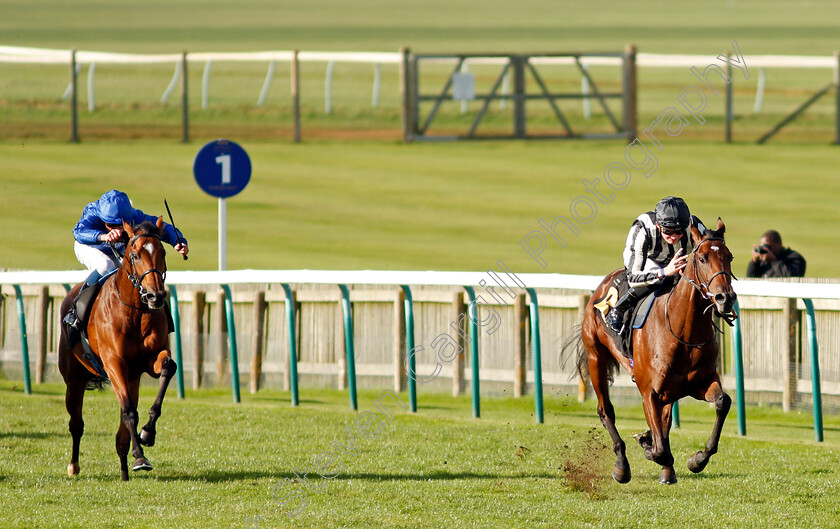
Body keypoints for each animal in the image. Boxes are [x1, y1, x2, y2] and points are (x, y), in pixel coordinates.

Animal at [59, 217, 179, 480]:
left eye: (163, 252)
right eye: (134, 255)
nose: (155, 296)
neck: (134, 310)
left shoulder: (149, 360)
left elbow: (168, 366)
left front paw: (148, 433)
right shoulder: (114, 363)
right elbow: (128, 412)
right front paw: (141, 456)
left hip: (132, 379)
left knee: (120, 435)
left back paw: (124, 469)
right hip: (74, 379)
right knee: (76, 424)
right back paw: (74, 465)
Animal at [572, 218, 736, 482]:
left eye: (729, 257)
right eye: (701, 258)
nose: (725, 298)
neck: (683, 333)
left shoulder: (701, 382)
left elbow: (723, 402)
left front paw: (697, 459)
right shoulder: (648, 391)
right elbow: (659, 450)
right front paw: (649, 447)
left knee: (665, 419)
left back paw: (665, 470)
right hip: (596, 357)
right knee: (606, 410)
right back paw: (622, 465)